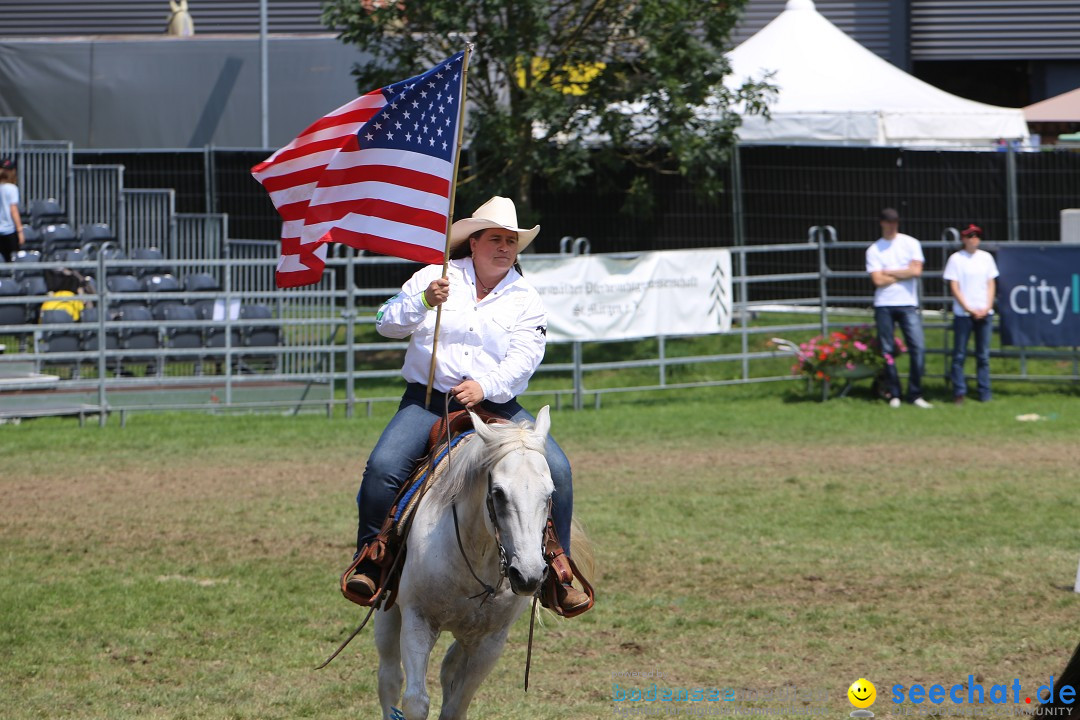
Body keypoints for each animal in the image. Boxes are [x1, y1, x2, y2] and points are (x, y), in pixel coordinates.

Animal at [373, 405, 557, 720]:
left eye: (550, 494)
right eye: (498, 493)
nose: (528, 575)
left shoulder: (491, 641)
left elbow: (457, 705)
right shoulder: (417, 620)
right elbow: (415, 701)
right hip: (387, 611)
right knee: (389, 679)